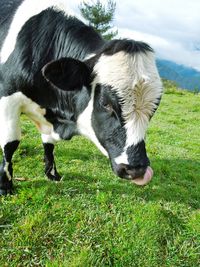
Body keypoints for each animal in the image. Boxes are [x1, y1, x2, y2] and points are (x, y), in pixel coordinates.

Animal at [0, 0, 162, 197]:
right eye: (106, 103)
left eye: (154, 109)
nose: (137, 169)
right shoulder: (8, 98)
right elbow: (11, 143)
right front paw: (6, 185)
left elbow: (48, 143)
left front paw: (52, 174)